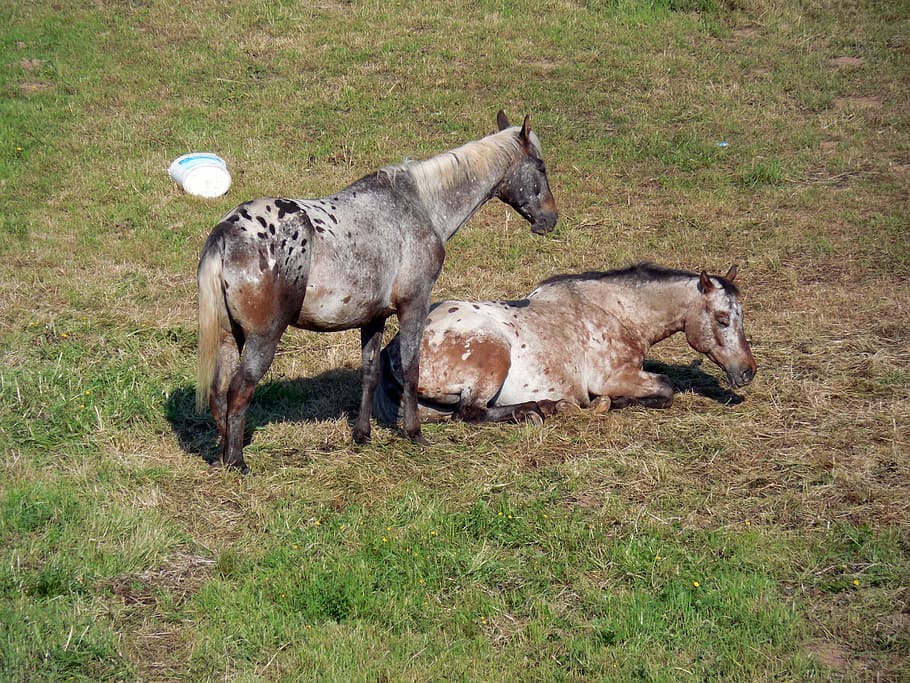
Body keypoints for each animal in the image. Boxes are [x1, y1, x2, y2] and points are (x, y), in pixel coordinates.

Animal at [196, 111, 558, 472]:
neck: (419, 206)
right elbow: (411, 367)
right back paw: (236, 461)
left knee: (219, 392)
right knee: (239, 389)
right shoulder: (414, 305)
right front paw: (414, 433)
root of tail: (226, 232)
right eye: (540, 167)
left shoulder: (374, 318)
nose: (550, 219)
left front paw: (362, 434)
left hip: (231, 337)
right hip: (263, 338)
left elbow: (369, 373)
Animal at [374, 263, 756, 424]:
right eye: (723, 319)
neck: (616, 311)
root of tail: (391, 350)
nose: (747, 372)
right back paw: (540, 410)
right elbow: (666, 388)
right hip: (494, 358)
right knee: (471, 412)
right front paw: (609, 404)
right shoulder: (614, 377)